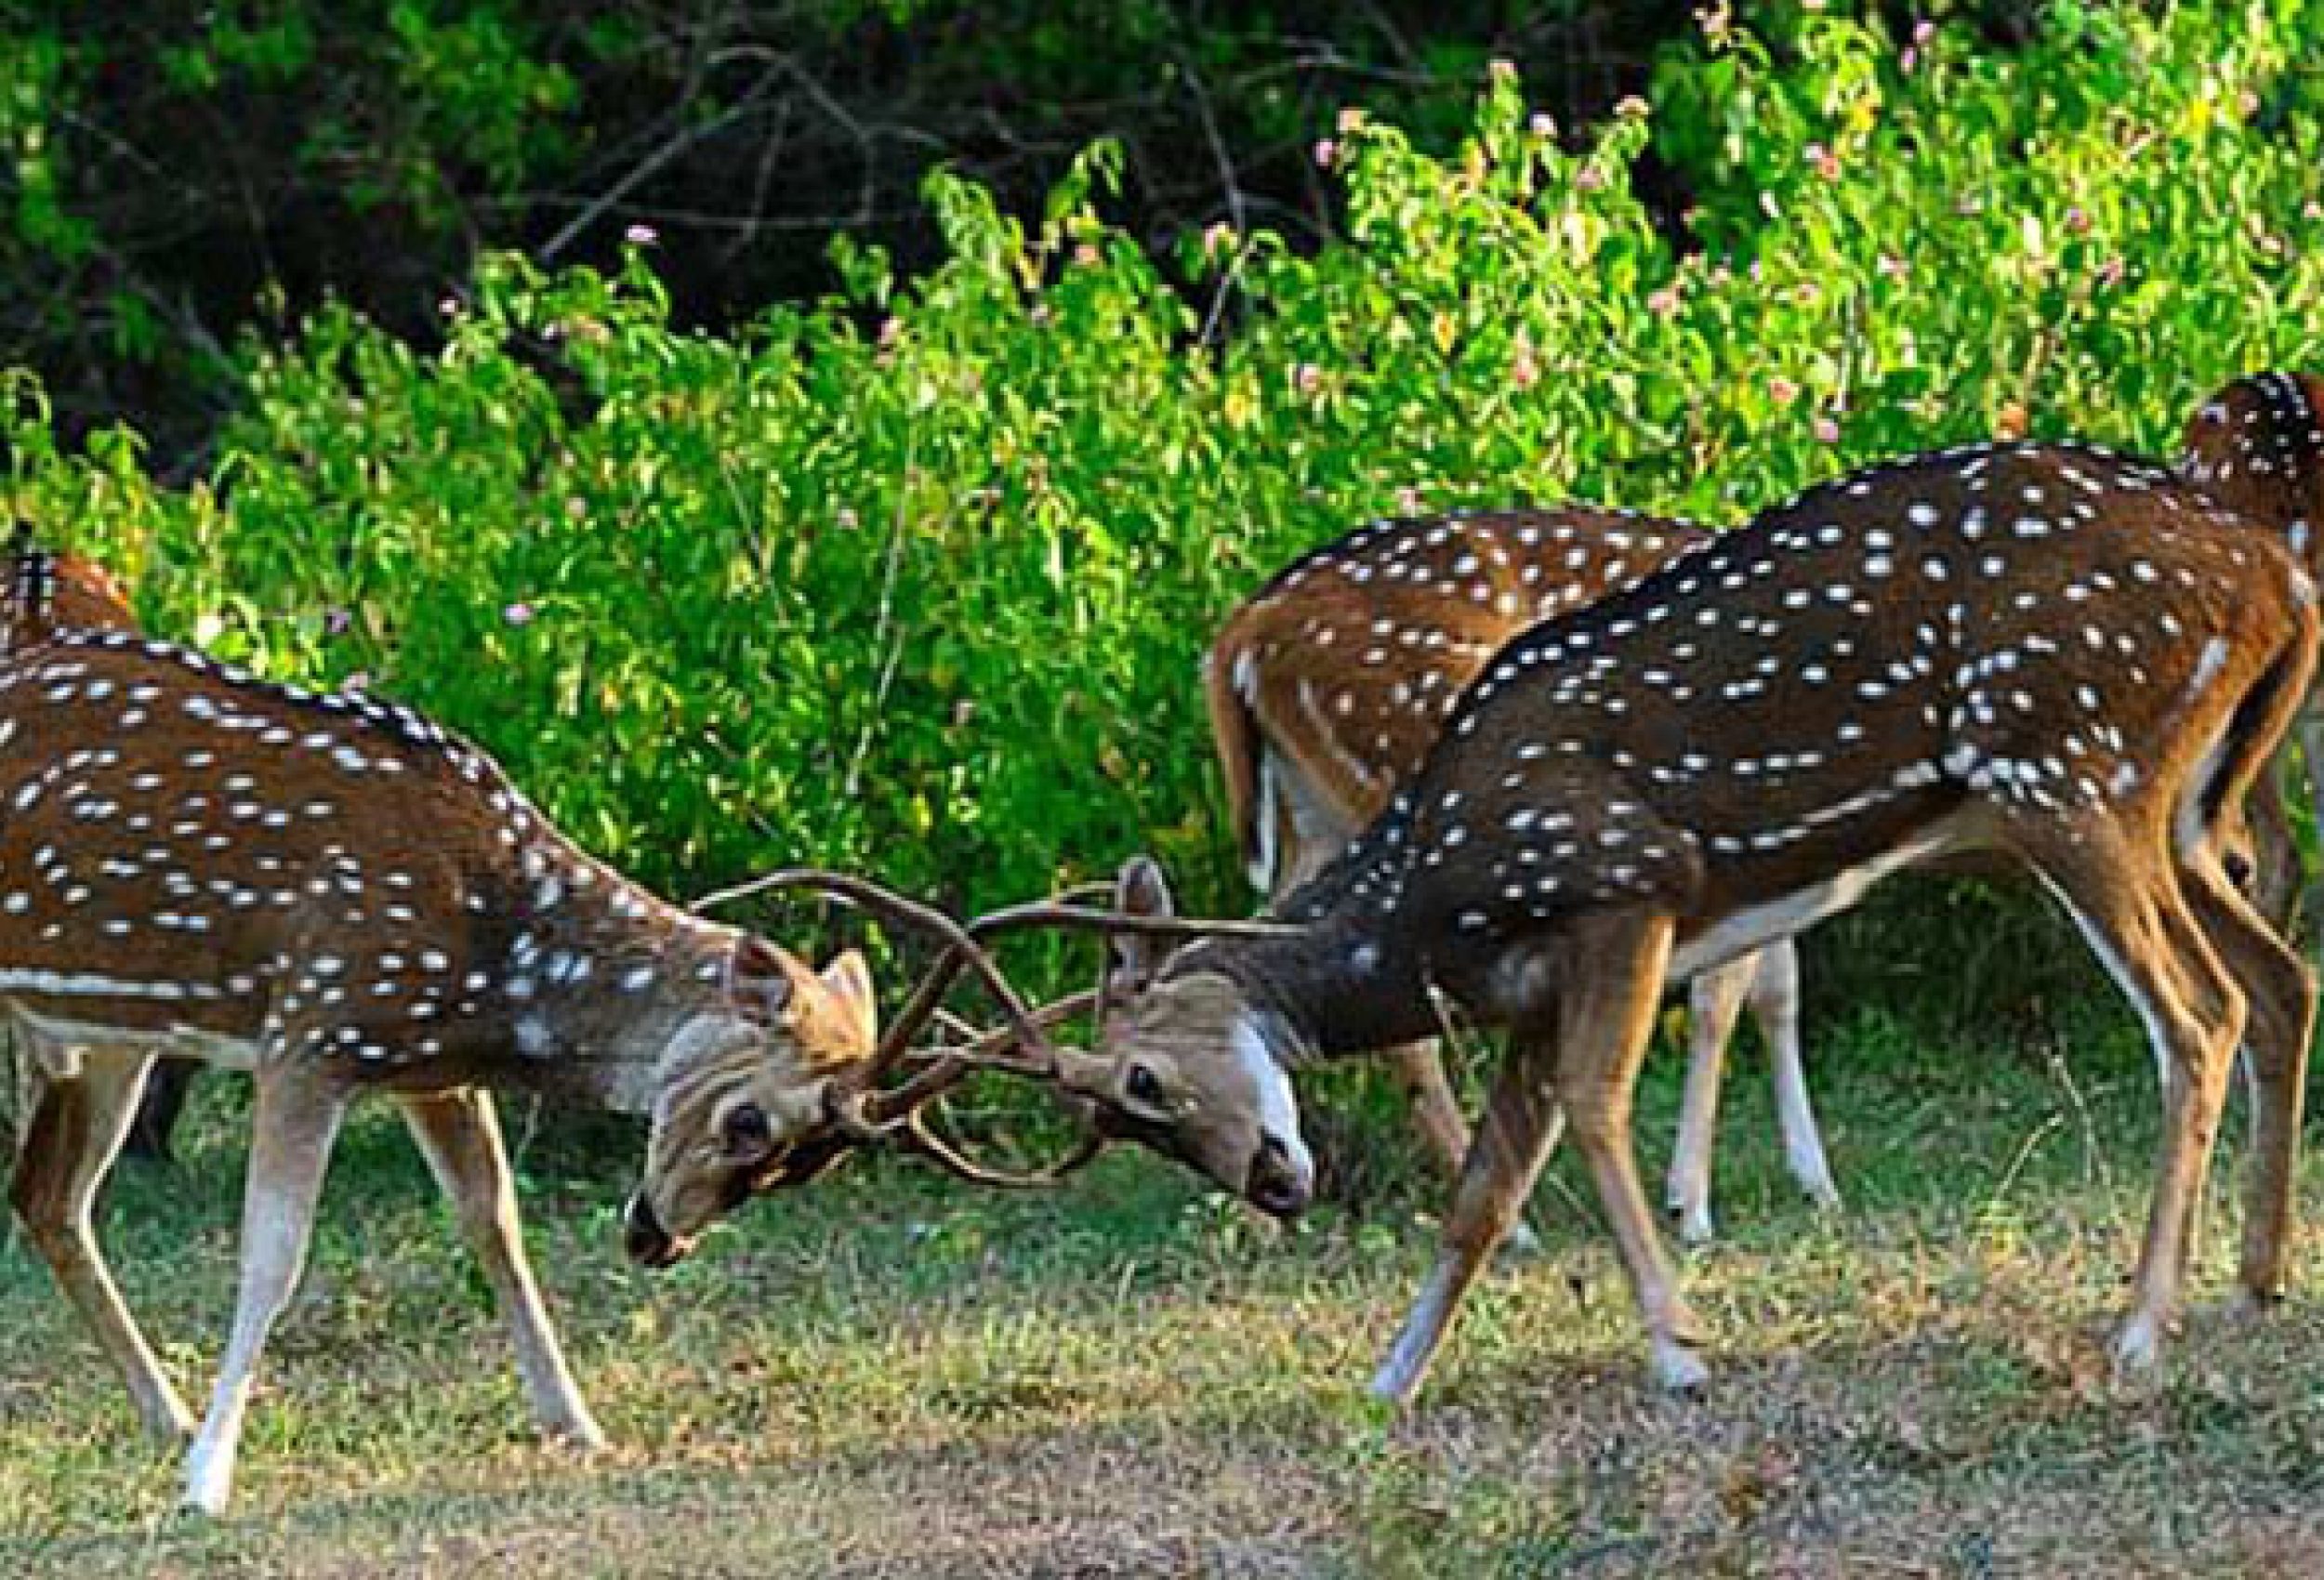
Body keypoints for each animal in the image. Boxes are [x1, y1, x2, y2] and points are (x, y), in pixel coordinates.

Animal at [0, 546, 888, 1515]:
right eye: (750, 1121)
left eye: (814, 1165)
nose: (658, 1239)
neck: (493, 966)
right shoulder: (311, 1027)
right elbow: (273, 1256)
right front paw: (209, 1480)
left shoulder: (426, 1066)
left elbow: (493, 1221)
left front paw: (579, 1424)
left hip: (110, 1027)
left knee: (47, 1197)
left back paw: (165, 1414)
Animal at [1208, 508, 1841, 1245]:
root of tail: (1242, 634)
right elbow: (1722, 997)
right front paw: (1692, 1206)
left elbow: (1777, 989)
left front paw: (1816, 1184)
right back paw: (1511, 1224)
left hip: (1315, 813)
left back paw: (1256, 1215)